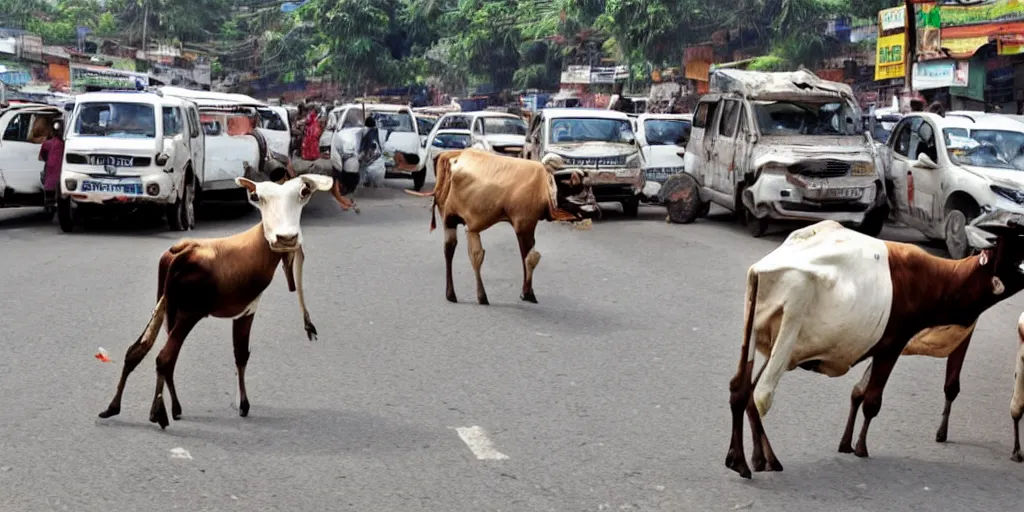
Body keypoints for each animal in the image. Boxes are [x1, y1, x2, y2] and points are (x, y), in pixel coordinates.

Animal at [407, 149, 598, 305]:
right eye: (577, 187)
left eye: (590, 188)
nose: (595, 210)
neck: (543, 186)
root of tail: (451, 155)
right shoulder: (524, 224)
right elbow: (529, 257)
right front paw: (527, 294)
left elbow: (526, 256)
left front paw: (527, 292)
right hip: (449, 218)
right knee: (452, 251)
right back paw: (463, 295)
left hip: (463, 224)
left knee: (471, 253)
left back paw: (469, 295)